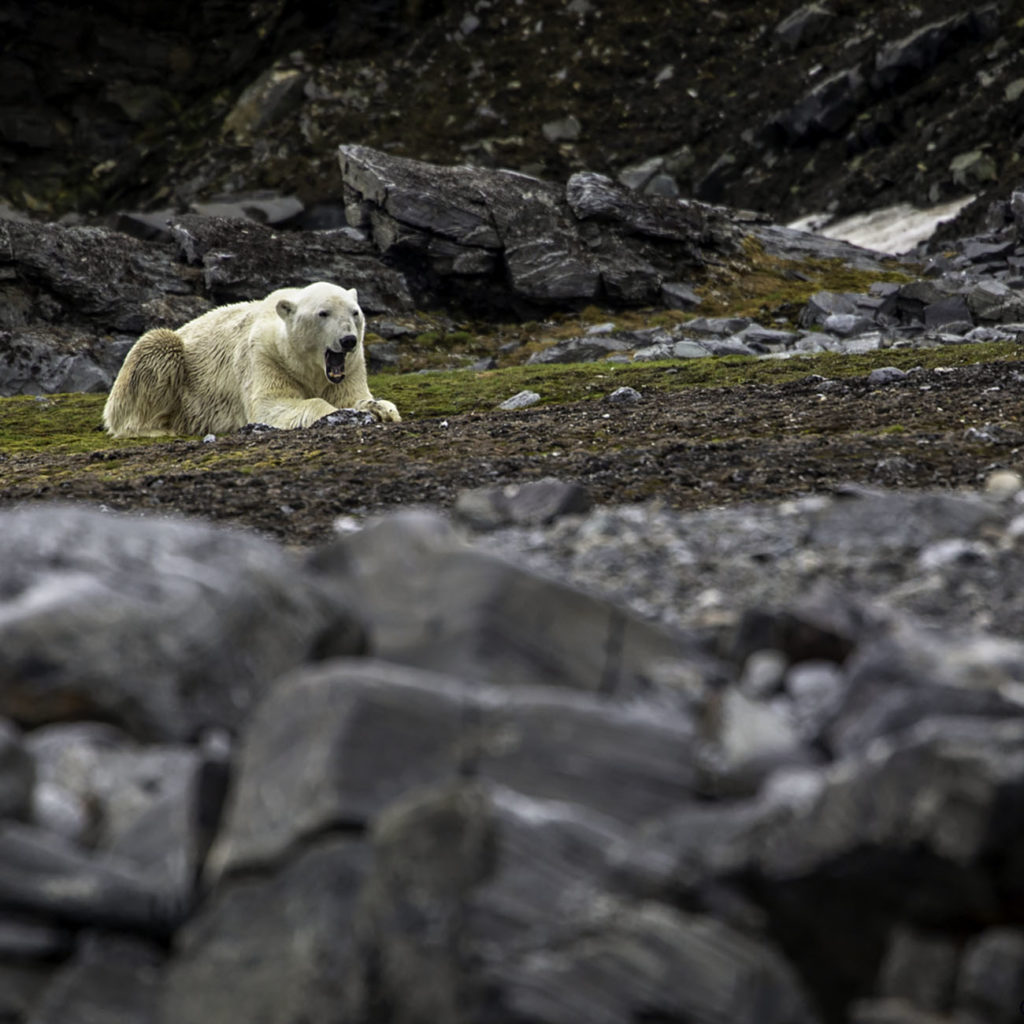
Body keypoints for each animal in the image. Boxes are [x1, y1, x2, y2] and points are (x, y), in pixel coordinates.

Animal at [101, 282, 399, 438]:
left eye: (355, 312)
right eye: (323, 313)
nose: (349, 340)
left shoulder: (352, 365)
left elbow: (353, 396)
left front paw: (381, 409)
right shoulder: (264, 356)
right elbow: (272, 405)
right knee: (156, 346)